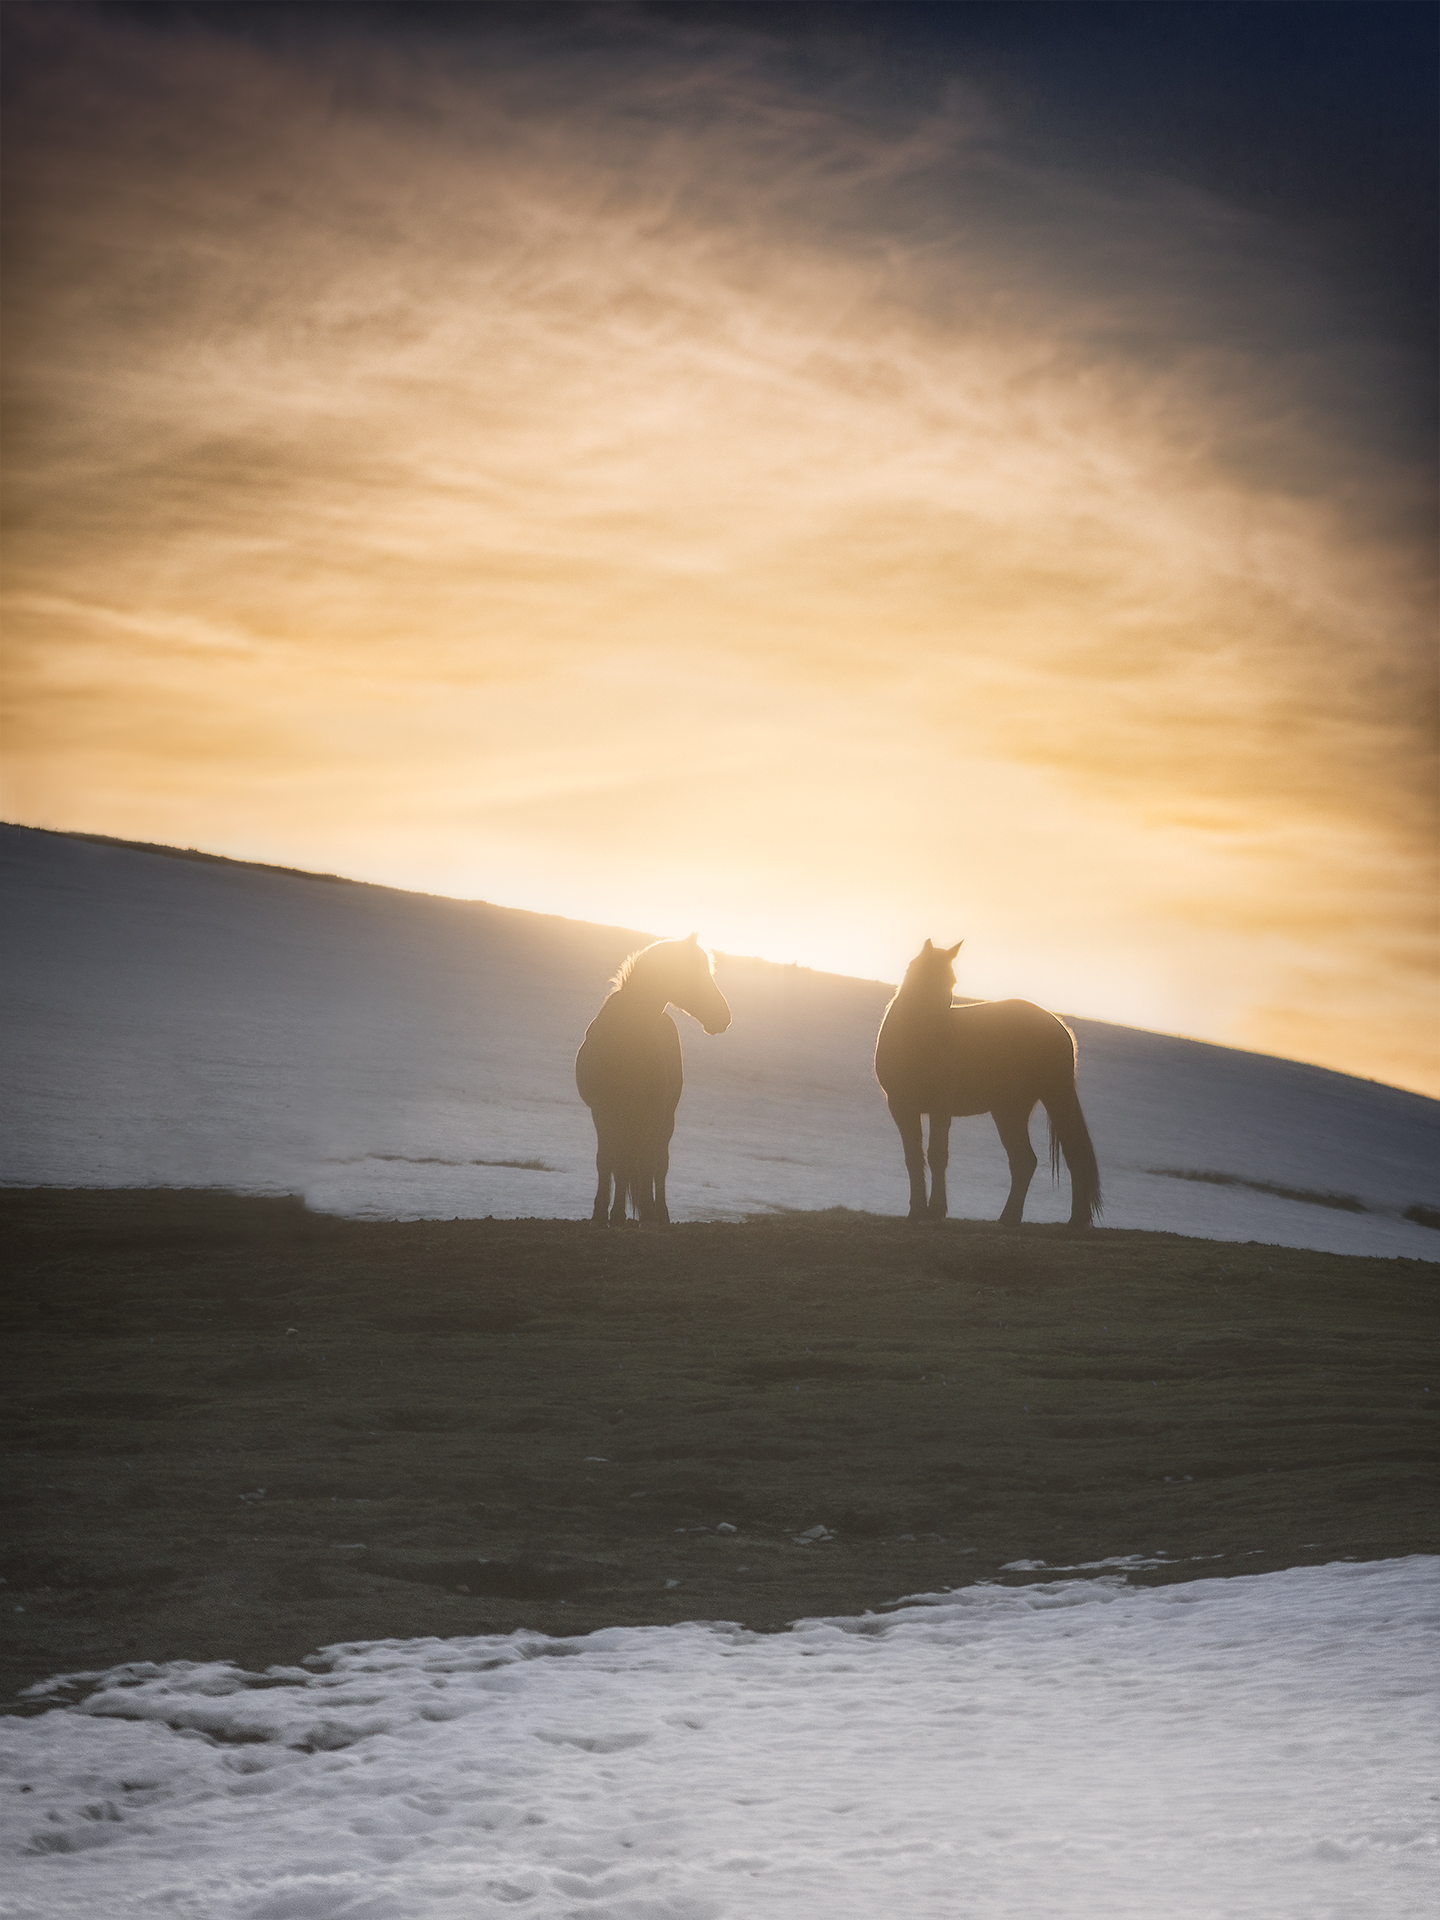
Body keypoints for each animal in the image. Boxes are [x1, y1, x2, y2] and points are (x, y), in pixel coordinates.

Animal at [575, 934, 731, 1226]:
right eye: (696, 972)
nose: (724, 1017)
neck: (625, 1036)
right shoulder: (602, 1112)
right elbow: (608, 1161)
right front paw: (603, 1215)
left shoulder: (651, 1113)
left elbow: (647, 1164)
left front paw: (644, 1213)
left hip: (664, 1118)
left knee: (659, 1164)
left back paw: (659, 1214)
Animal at [874, 939, 1102, 1228]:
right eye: (926, 977)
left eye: (951, 981)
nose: (944, 1034)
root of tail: (1060, 1026)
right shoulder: (901, 1108)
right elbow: (913, 1157)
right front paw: (917, 1211)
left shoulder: (940, 1108)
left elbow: (937, 1156)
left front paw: (935, 1210)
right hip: (1009, 1110)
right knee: (1024, 1161)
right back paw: (1009, 1217)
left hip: (1055, 1097)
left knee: (1072, 1154)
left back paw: (1076, 1219)